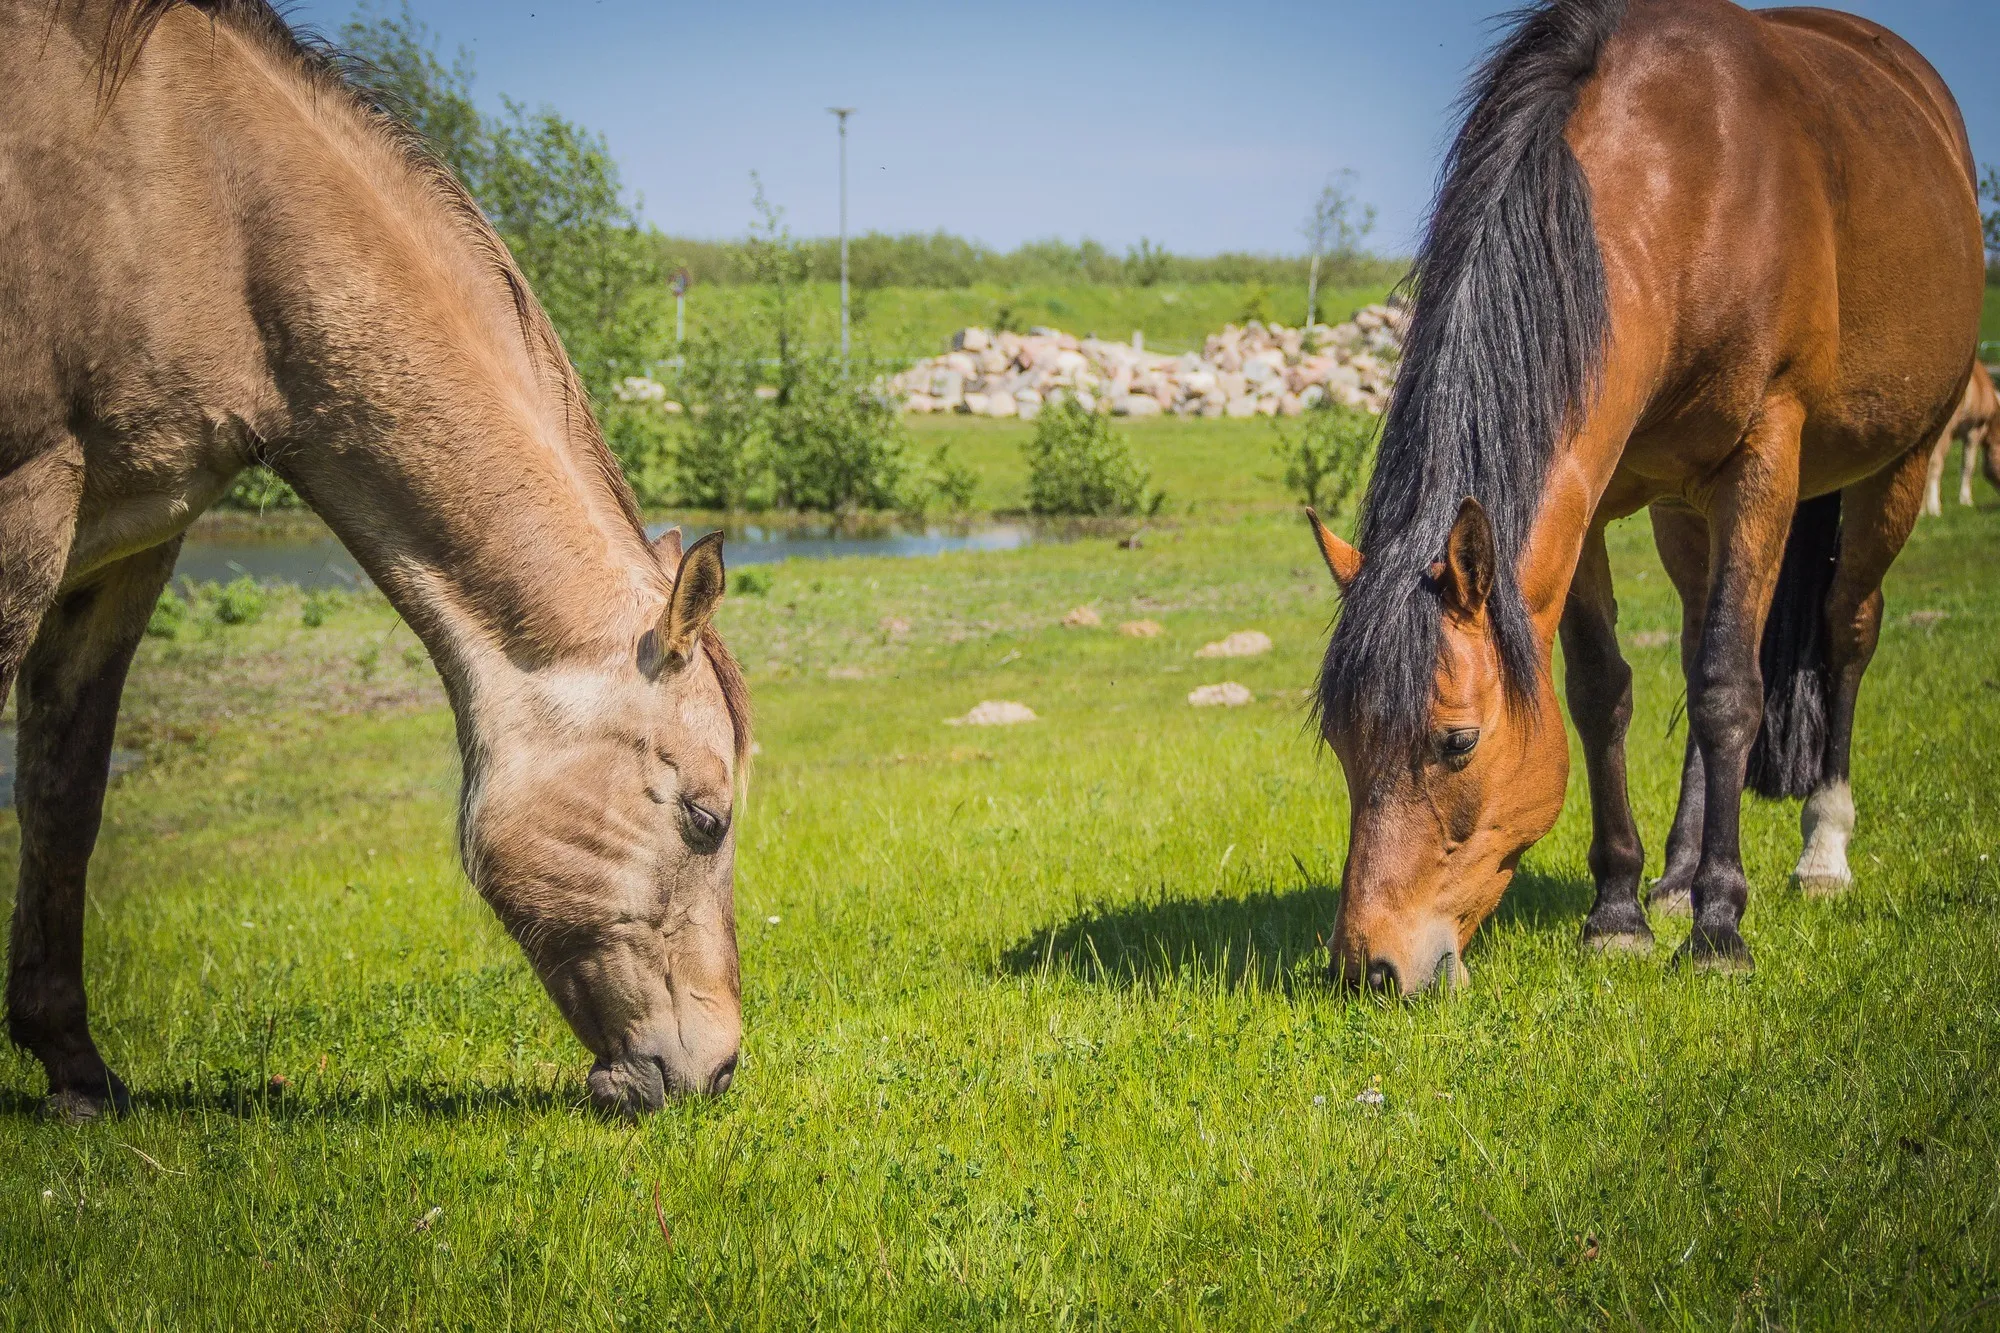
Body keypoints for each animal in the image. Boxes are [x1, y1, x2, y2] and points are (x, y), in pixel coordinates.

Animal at [0, 0, 750, 1118]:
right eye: (705, 817)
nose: (721, 1066)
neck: (199, 188)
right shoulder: (27, 498)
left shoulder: (126, 545)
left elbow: (64, 794)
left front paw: (75, 1068)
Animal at [1304, 0, 1983, 993]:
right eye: (1344, 743)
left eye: (1456, 742)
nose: (1371, 968)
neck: (1683, 186)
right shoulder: (1591, 493)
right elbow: (1602, 691)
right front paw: (1620, 911)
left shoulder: (1764, 458)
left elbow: (1730, 689)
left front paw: (1721, 929)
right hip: (1682, 512)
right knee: (1705, 638)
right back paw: (1675, 878)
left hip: (1897, 463)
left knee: (1846, 630)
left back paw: (1820, 854)